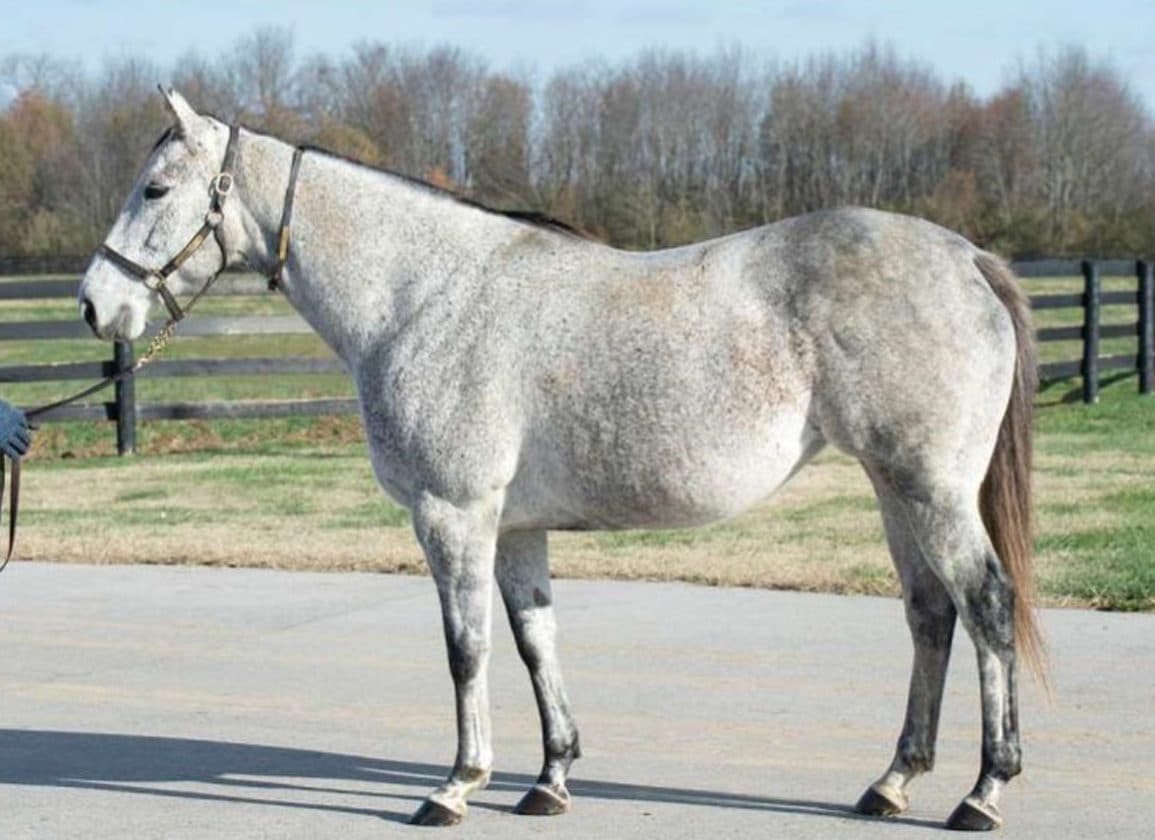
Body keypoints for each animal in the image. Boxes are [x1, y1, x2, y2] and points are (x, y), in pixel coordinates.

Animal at [78, 89, 1042, 831]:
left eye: (156, 187)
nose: (95, 305)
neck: (422, 295)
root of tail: (966, 256)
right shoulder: (514, 529)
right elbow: (535, 640)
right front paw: (549, 780)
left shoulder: (453, 514)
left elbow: (465, 649)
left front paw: (455, 786)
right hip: (893, 489)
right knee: (930, 615)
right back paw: (892, 782)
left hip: (929, 490)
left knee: (985, 604)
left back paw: (982, 792)